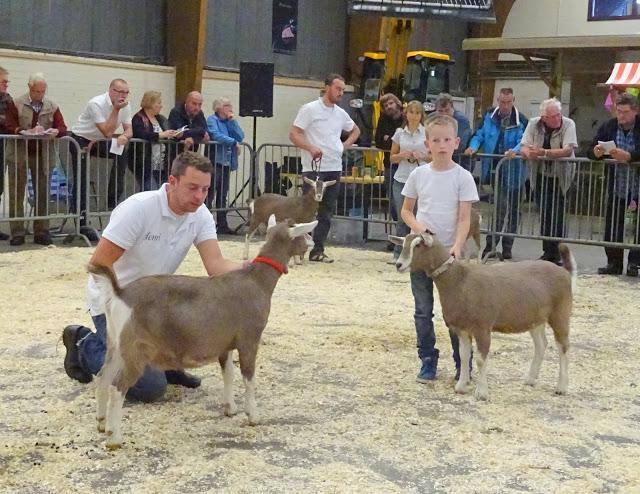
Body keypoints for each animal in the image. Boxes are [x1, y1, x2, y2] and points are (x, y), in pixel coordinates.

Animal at [89, 214, 318, 450]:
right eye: (303, 232)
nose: (313, 243)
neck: (257, 281)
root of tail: (120, 293)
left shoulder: (226, 343)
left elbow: (229, 373)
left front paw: (230, 408)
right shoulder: (249, 339)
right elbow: (248, 377)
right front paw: (253, 416)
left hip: (116, 345)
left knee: (103, 376)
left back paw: (101, 423)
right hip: (136, 350)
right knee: (118, 387)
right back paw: (115, 438)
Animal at [390, 233, 576, 402]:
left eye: (418, 245)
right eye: (404, 243)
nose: (399, 265)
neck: (459, 279)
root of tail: (565, 272)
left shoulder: (482, 327)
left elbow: (480, 359)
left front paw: (481, 393)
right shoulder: (462, 329)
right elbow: (464, 355)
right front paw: (461, 387)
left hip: (560, 313)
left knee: (564, 347)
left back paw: (561, 387)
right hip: (535, 318)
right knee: (541, 344)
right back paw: (530, 379)